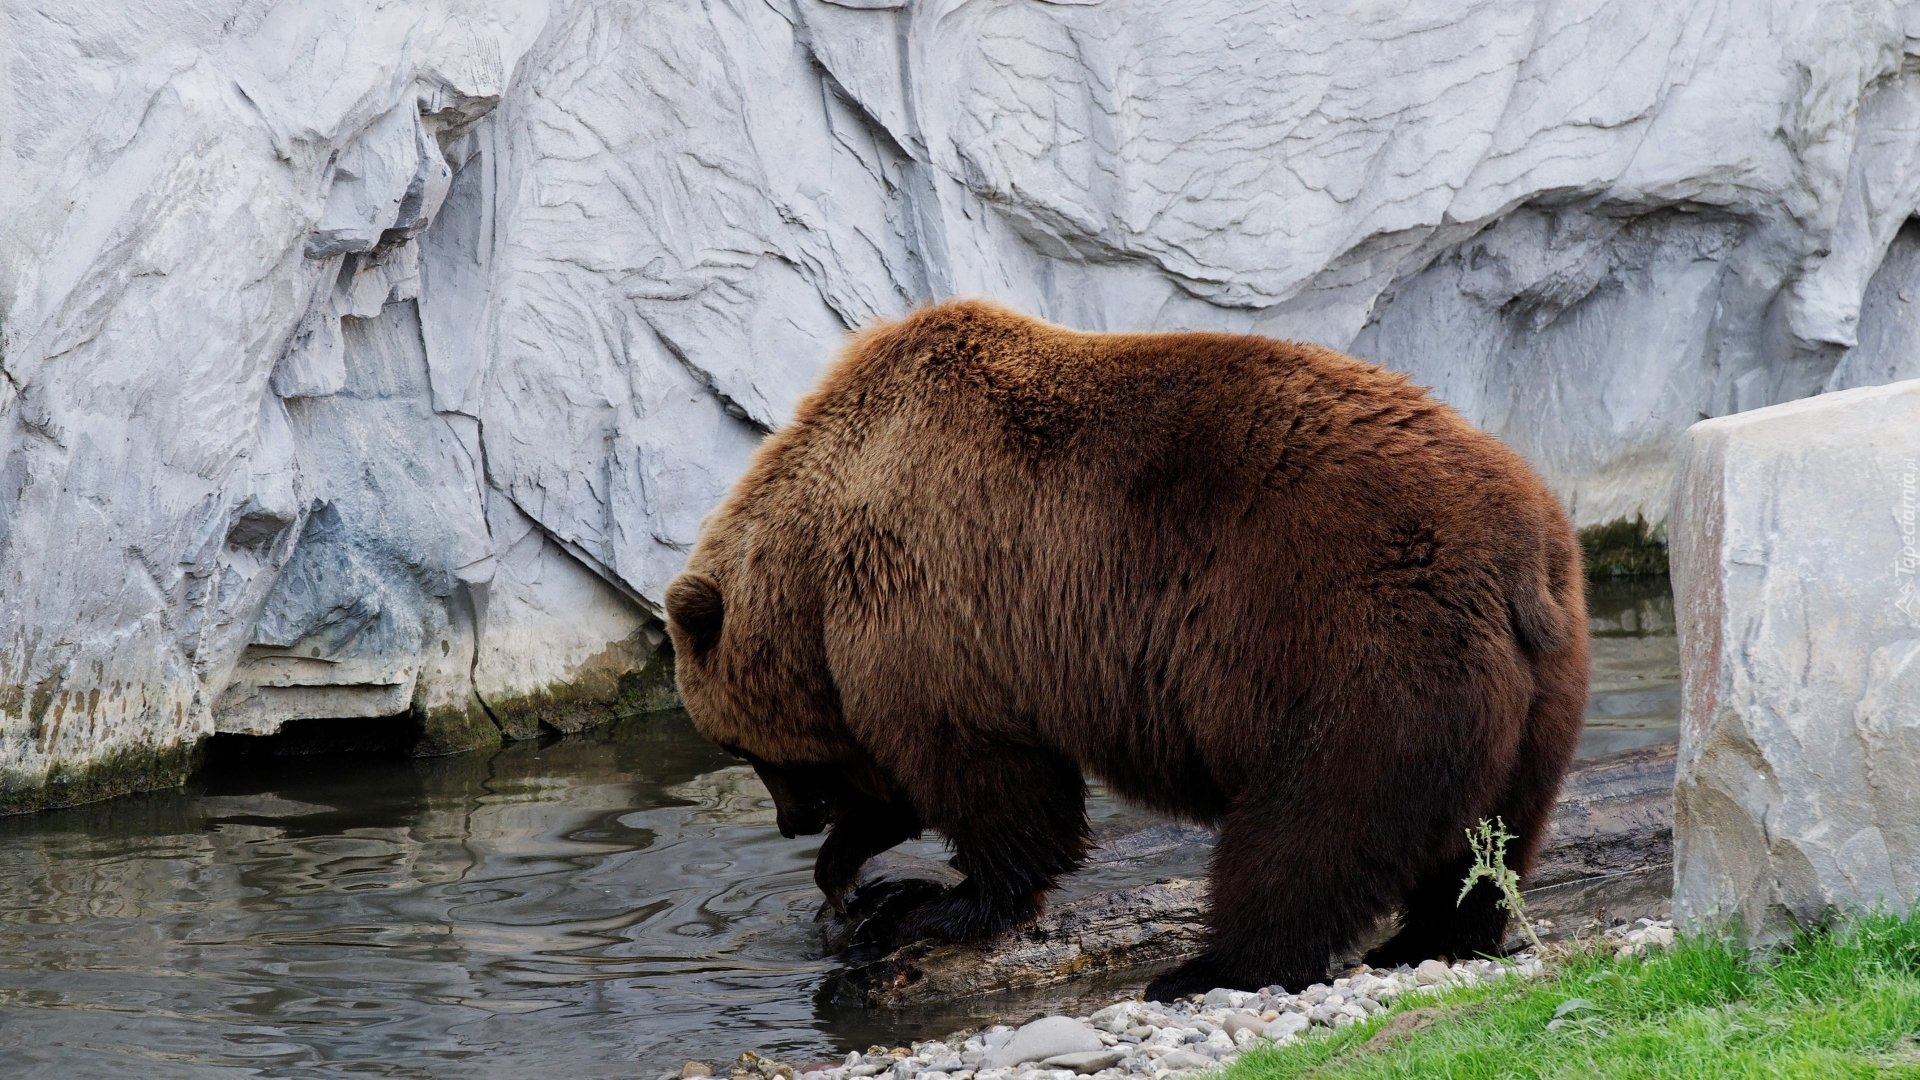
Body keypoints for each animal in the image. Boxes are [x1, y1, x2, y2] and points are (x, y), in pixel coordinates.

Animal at [664, 297, 1589, 999]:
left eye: (740, 748)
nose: (791, 821)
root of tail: (1517, 547)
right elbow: (911, 784)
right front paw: (852, 878)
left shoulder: (932, 603)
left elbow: (989, 783)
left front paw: (928, 904)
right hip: (1542, 684)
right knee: (1490, 836)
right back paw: (1434, 936)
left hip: (1351, 648)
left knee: (1311, 828)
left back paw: (1209, 966)